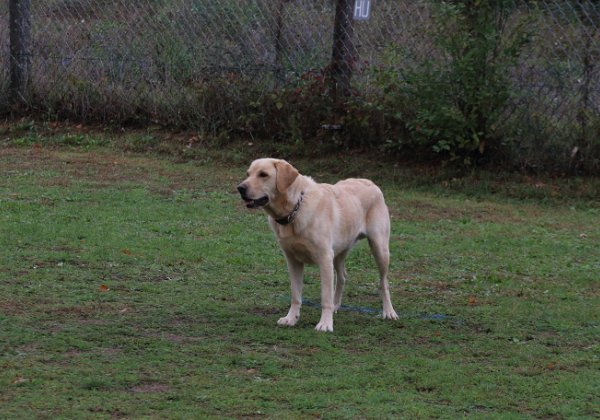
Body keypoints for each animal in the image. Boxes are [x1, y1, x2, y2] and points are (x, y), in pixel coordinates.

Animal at [238, 158, 398, 332]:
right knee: (342, 276)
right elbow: (295, 295)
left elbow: (325, 297)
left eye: (263, 174)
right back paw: (336, 306)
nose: (240, 188)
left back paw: (389, 312)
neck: (295, 208)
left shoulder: (324, 258)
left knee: (384, 283)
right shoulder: (293, 261)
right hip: (339, 253)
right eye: (248, 174)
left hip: (380, 249)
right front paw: (291, 318)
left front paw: (325, 324)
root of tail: (370, 182)